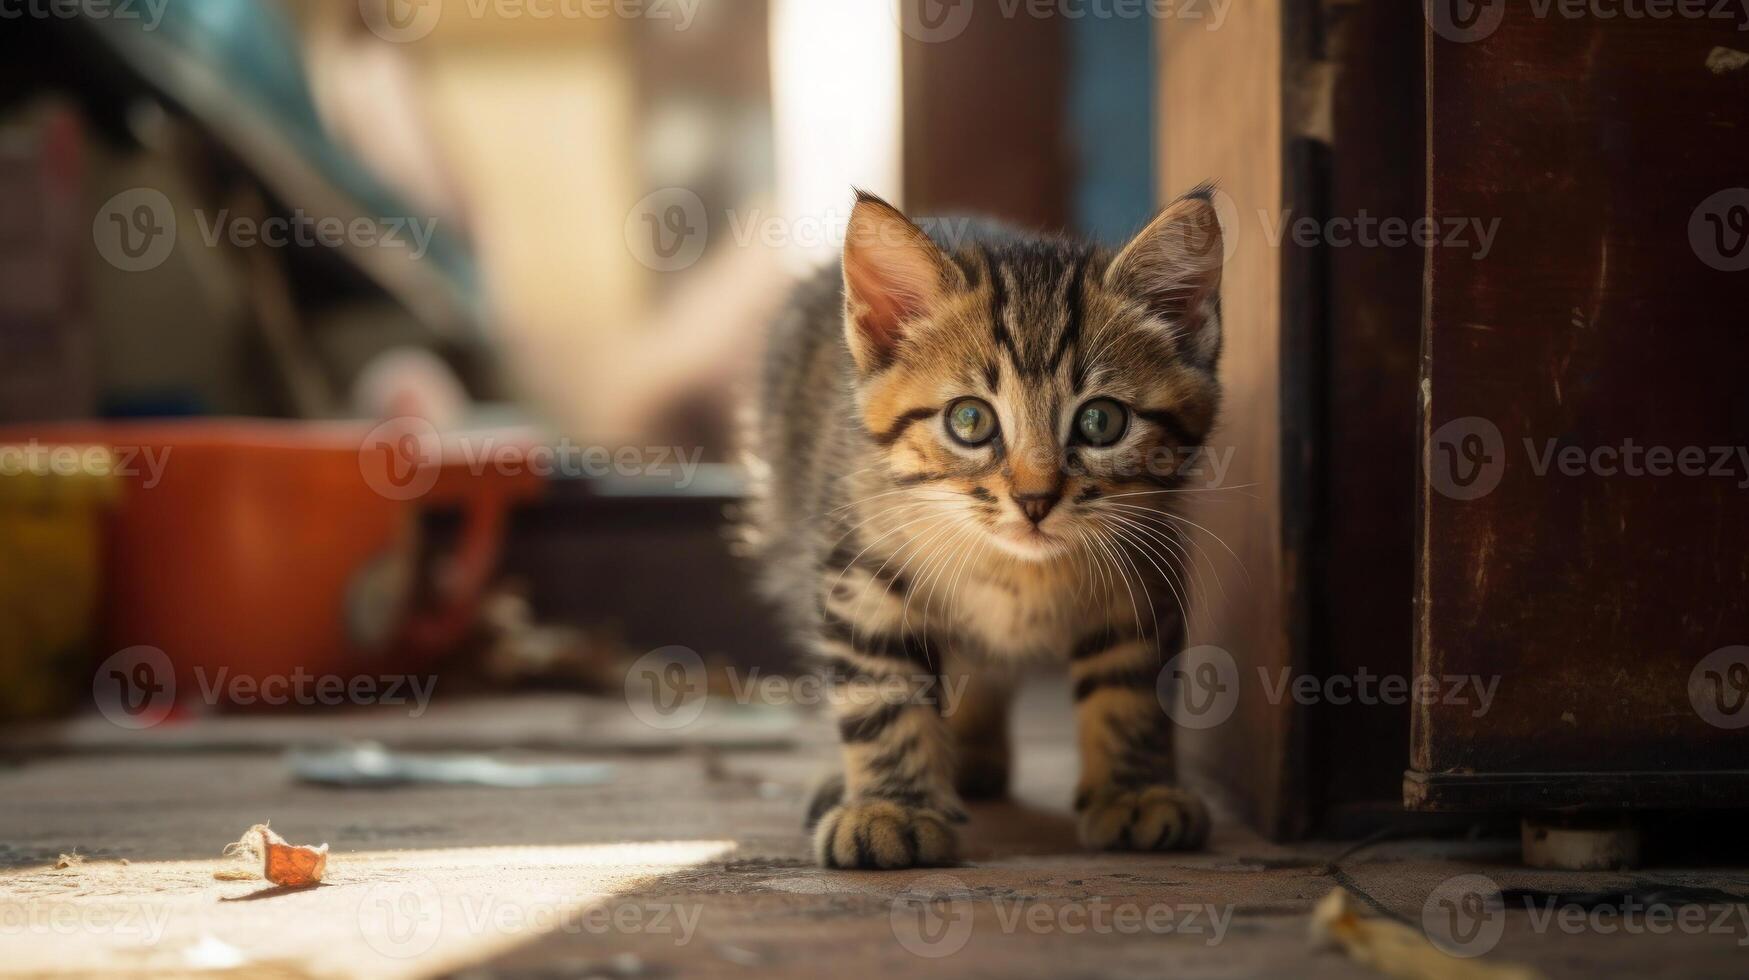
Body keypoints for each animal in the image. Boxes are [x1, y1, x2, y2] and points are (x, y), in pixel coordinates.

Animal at [745, 187, 1224, 868]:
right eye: (969, 421)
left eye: (1101, 422)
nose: (1034, 498)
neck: (1015, 569)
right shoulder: (859, 571)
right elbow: (882, 690)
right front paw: (891, 807)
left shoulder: (1143, 567)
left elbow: (1129, 683)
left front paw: (1134, 792)